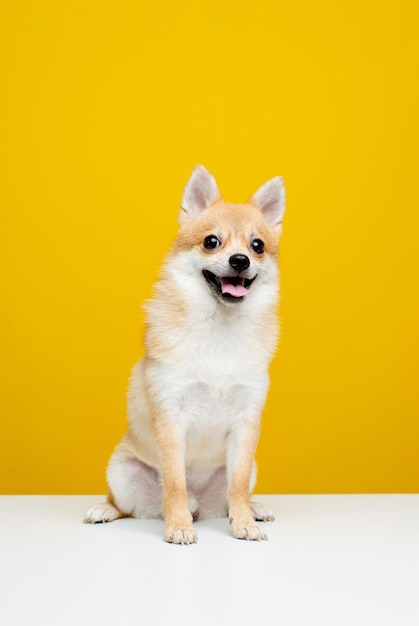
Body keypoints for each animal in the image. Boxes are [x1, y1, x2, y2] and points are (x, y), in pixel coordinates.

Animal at [86, 166, 288, 540]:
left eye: (257, 246)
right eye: (211, 242)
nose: (240, 260)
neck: (218, 327)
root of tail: (200, 505)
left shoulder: (246, 423)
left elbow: (238, 485)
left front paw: (244, 523)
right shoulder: (171, 418)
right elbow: (175, 482)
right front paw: (178, 525)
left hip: (248, 466)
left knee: (235, 491)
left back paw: (255, 509)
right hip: (120, 471)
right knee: (123, 504)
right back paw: (105, 510)